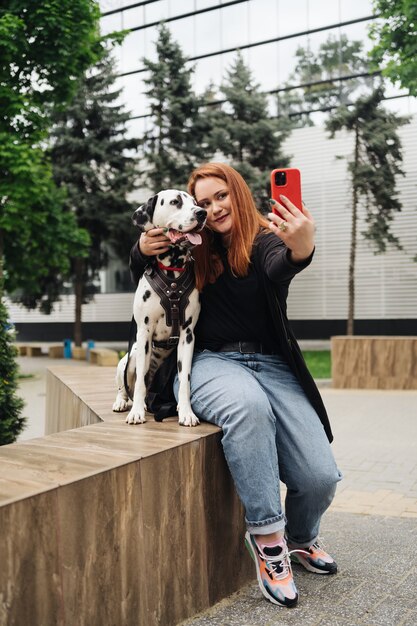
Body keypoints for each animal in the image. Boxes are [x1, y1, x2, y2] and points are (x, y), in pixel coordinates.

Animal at [112, 188, 206, 426]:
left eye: (195, 202)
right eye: (175, 202)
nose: (202, 213)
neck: (172, 272)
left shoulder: (187, 335)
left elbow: (185, 380)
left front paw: (186, 412)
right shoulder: (144, 333)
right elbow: (140, 383)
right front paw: (136, 412)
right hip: (129, 359)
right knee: (126, 386)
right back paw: (123, 402)